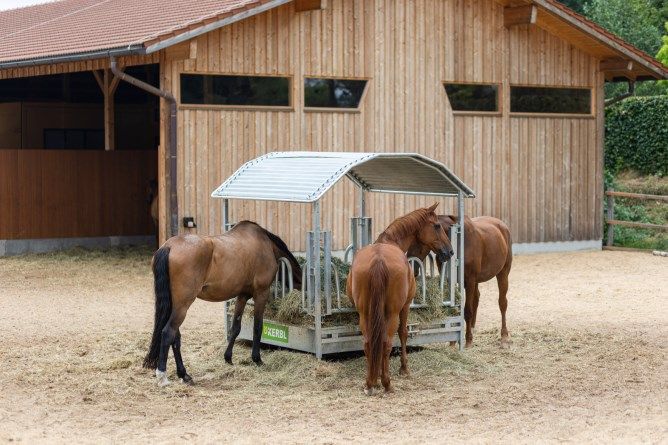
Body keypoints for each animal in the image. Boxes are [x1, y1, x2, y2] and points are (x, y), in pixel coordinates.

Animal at [147, 221, 306, 386]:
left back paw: (184, 374)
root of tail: (169, 247)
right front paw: (257, 359)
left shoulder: (242, 295)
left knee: (175, 336)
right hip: (183, 305)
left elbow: (235, 327)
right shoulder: (261, 293)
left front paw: (228, 357)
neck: (265, 244)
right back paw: (162, 376)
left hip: (176, 305)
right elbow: (257, 327)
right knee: (168, 333)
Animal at [344, 203, 454, 394]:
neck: (390, 241)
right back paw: (387, 383)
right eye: (437, 226)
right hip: (394, 312)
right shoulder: (405, 306)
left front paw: (377, 377)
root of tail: (378, 260)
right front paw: (404, 368)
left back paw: (370, 383)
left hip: (365, 313)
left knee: (369, 342)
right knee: (387, 341)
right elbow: (403, 333)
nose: (450, 251)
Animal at [408, 214, 512, 346]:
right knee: (477, 299)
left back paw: (504, 336)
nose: (412, 267)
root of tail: (502, 226)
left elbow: (467, 310)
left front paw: (468, 340)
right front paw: (453, 341)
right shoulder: (451, 280)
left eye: (418, 241)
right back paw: (472, 328)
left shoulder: (470, 280)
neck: (459, 241)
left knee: (502, 303)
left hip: (503, 273)